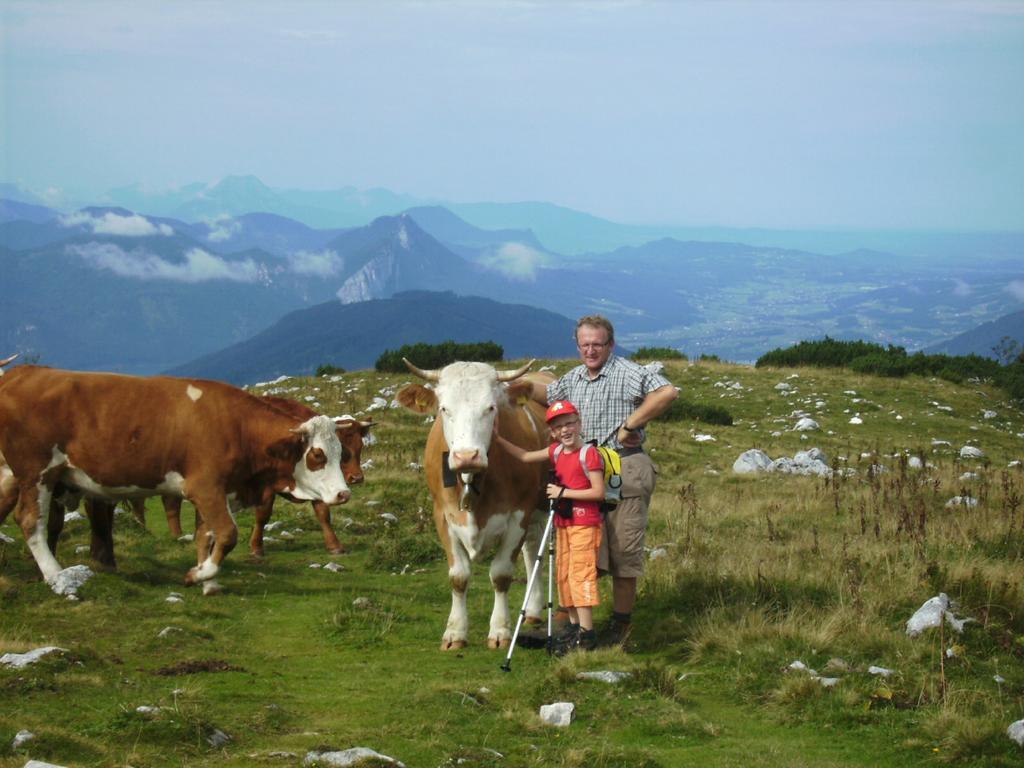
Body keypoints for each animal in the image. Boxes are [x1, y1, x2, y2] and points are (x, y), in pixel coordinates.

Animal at [0, 362, 352, 593]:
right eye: (317, 455)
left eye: (342, 453)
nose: (343, 494)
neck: (236, 426)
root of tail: (25, 371)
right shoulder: (205, 486)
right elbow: (227, 534)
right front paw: (198, 575)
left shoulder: (217, 492)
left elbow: (206, 535)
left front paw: (207, 579)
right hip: (36, 471)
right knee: (30, 520)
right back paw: (56, 576)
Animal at [395, 360, 552, 651]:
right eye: (444, 408)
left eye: (491, 407)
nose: (467, 456)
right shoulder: (442, 516)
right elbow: (458, 576)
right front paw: (455, 632)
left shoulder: (519, 514)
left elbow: (501, 574)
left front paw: (500, 630)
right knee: (531, 548)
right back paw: (534, 610)